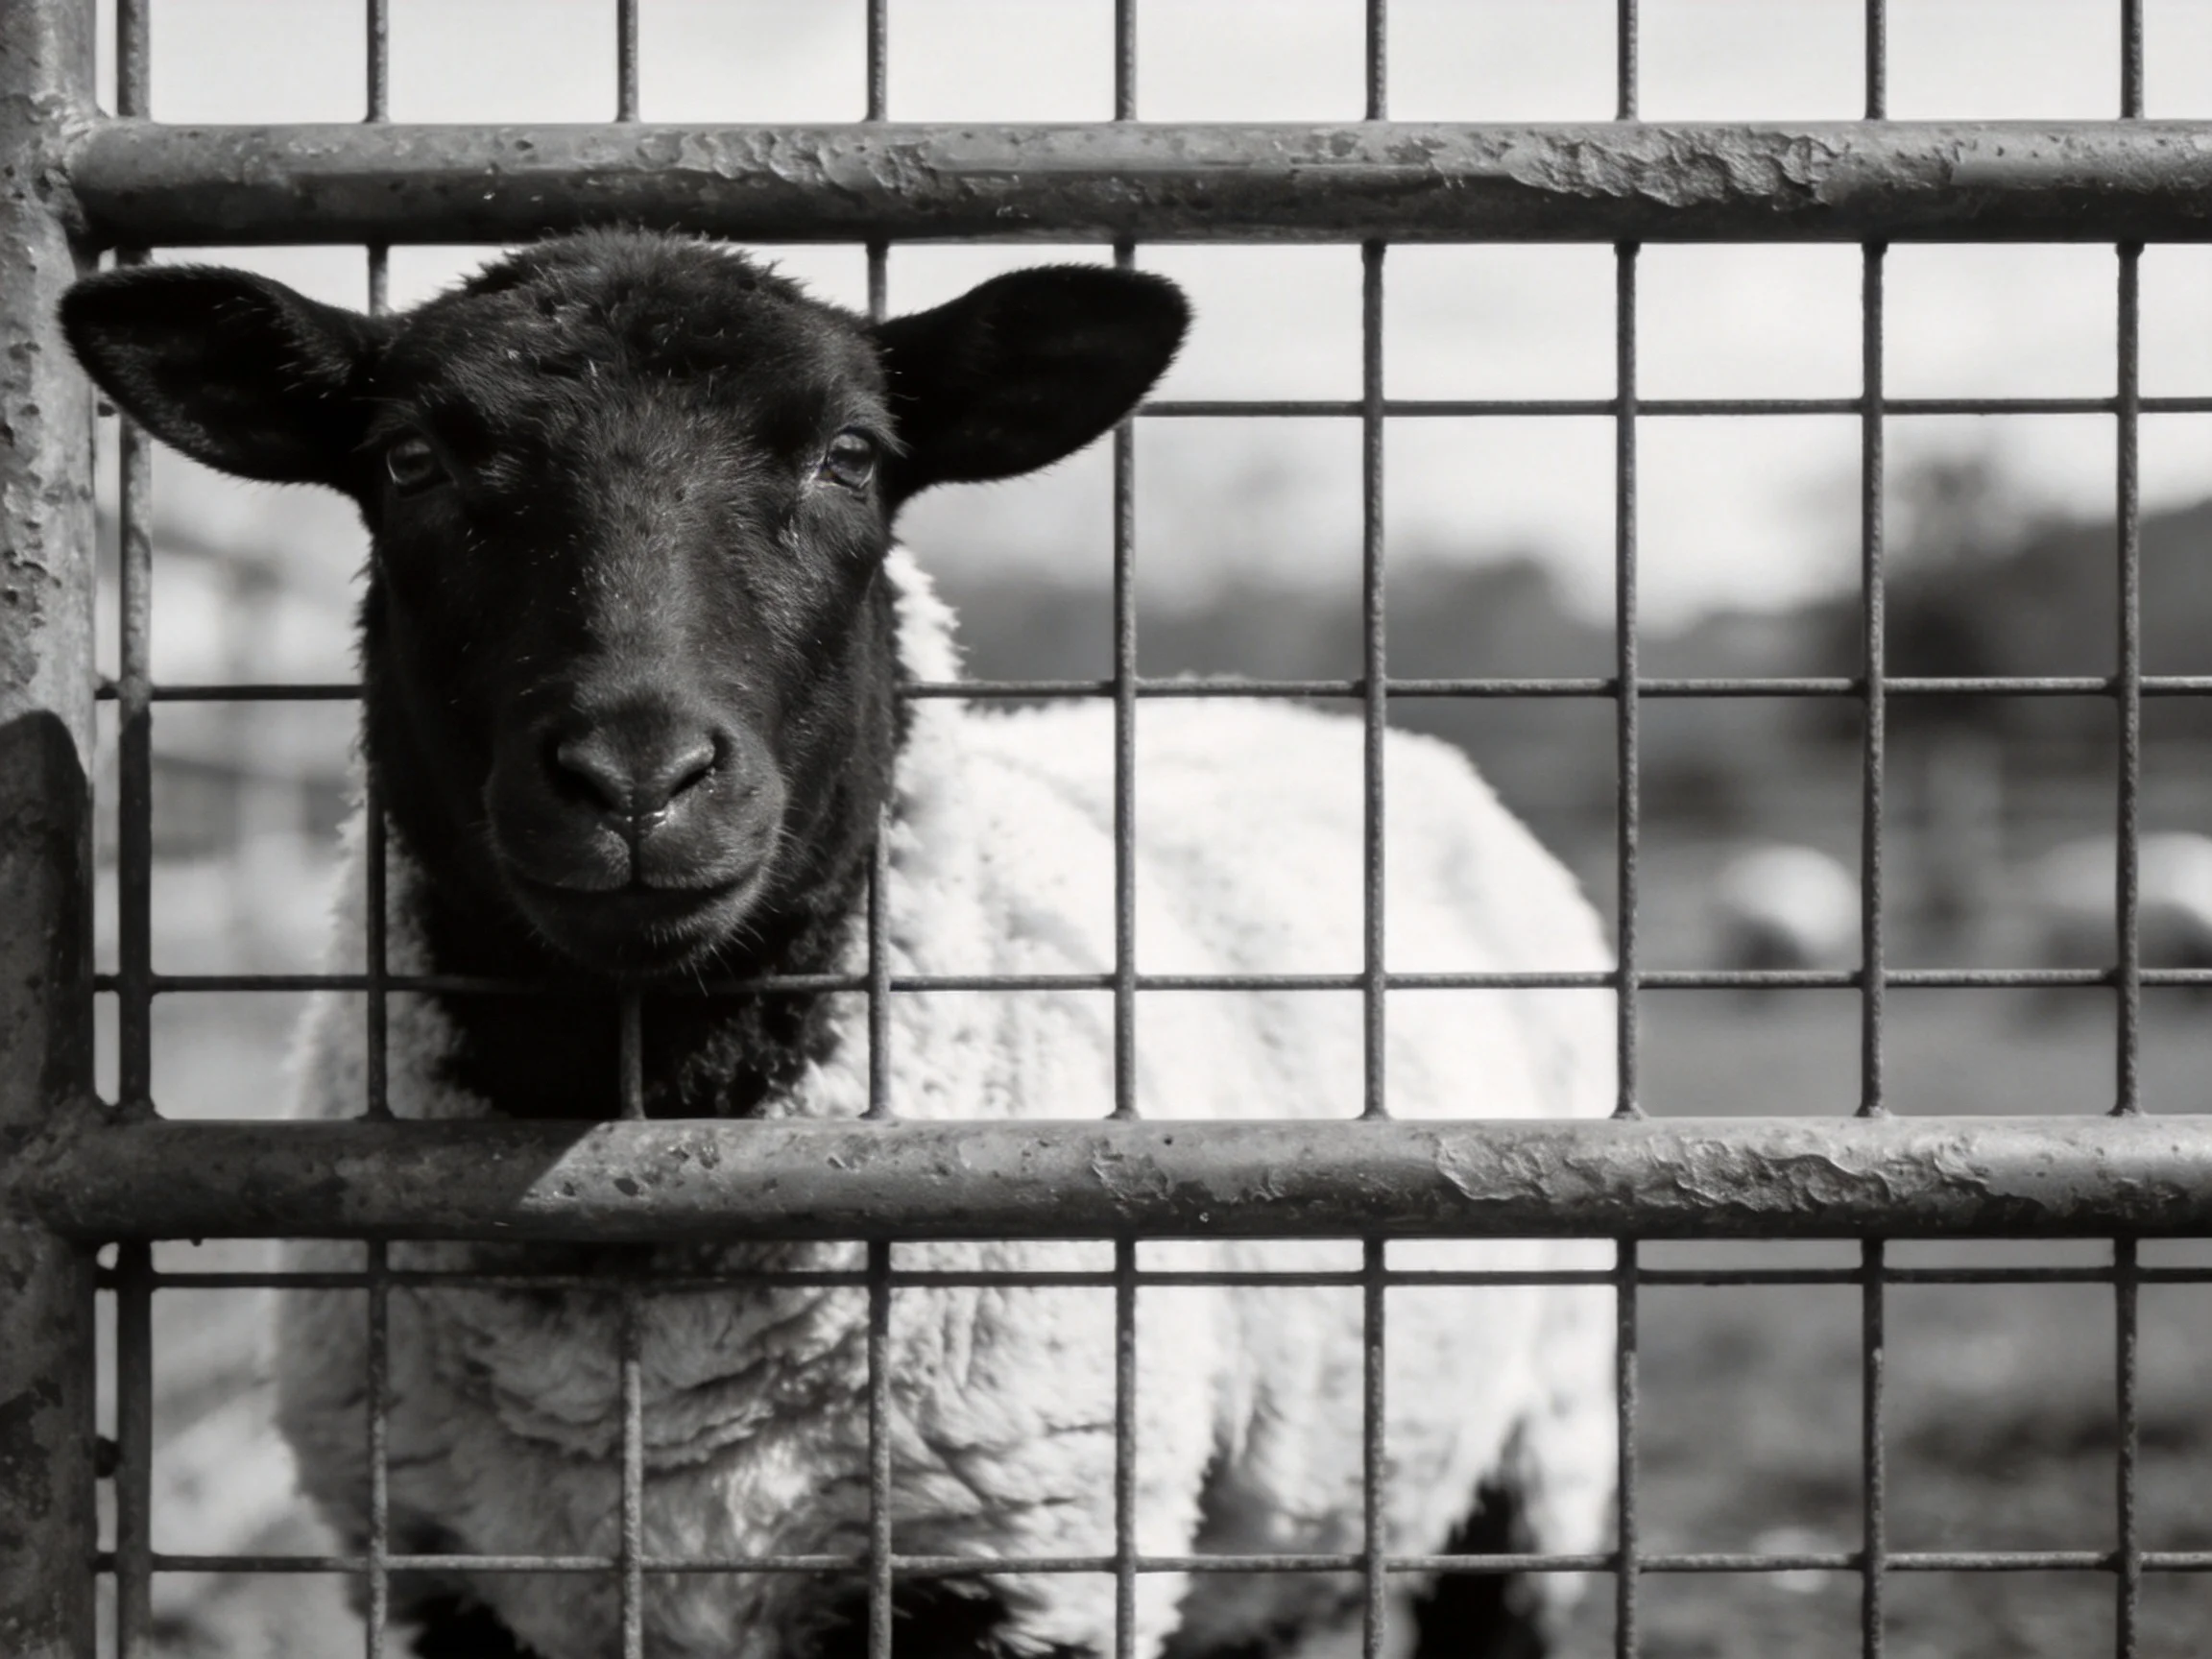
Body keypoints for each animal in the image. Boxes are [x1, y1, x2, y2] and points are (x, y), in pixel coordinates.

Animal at [63, 230, 1616, 1659]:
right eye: (408, 463)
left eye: (852, 457)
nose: (637, 776)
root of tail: (1276, 705)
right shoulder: (458, 1582)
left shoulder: (1018, 1565)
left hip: (1540, 1443)